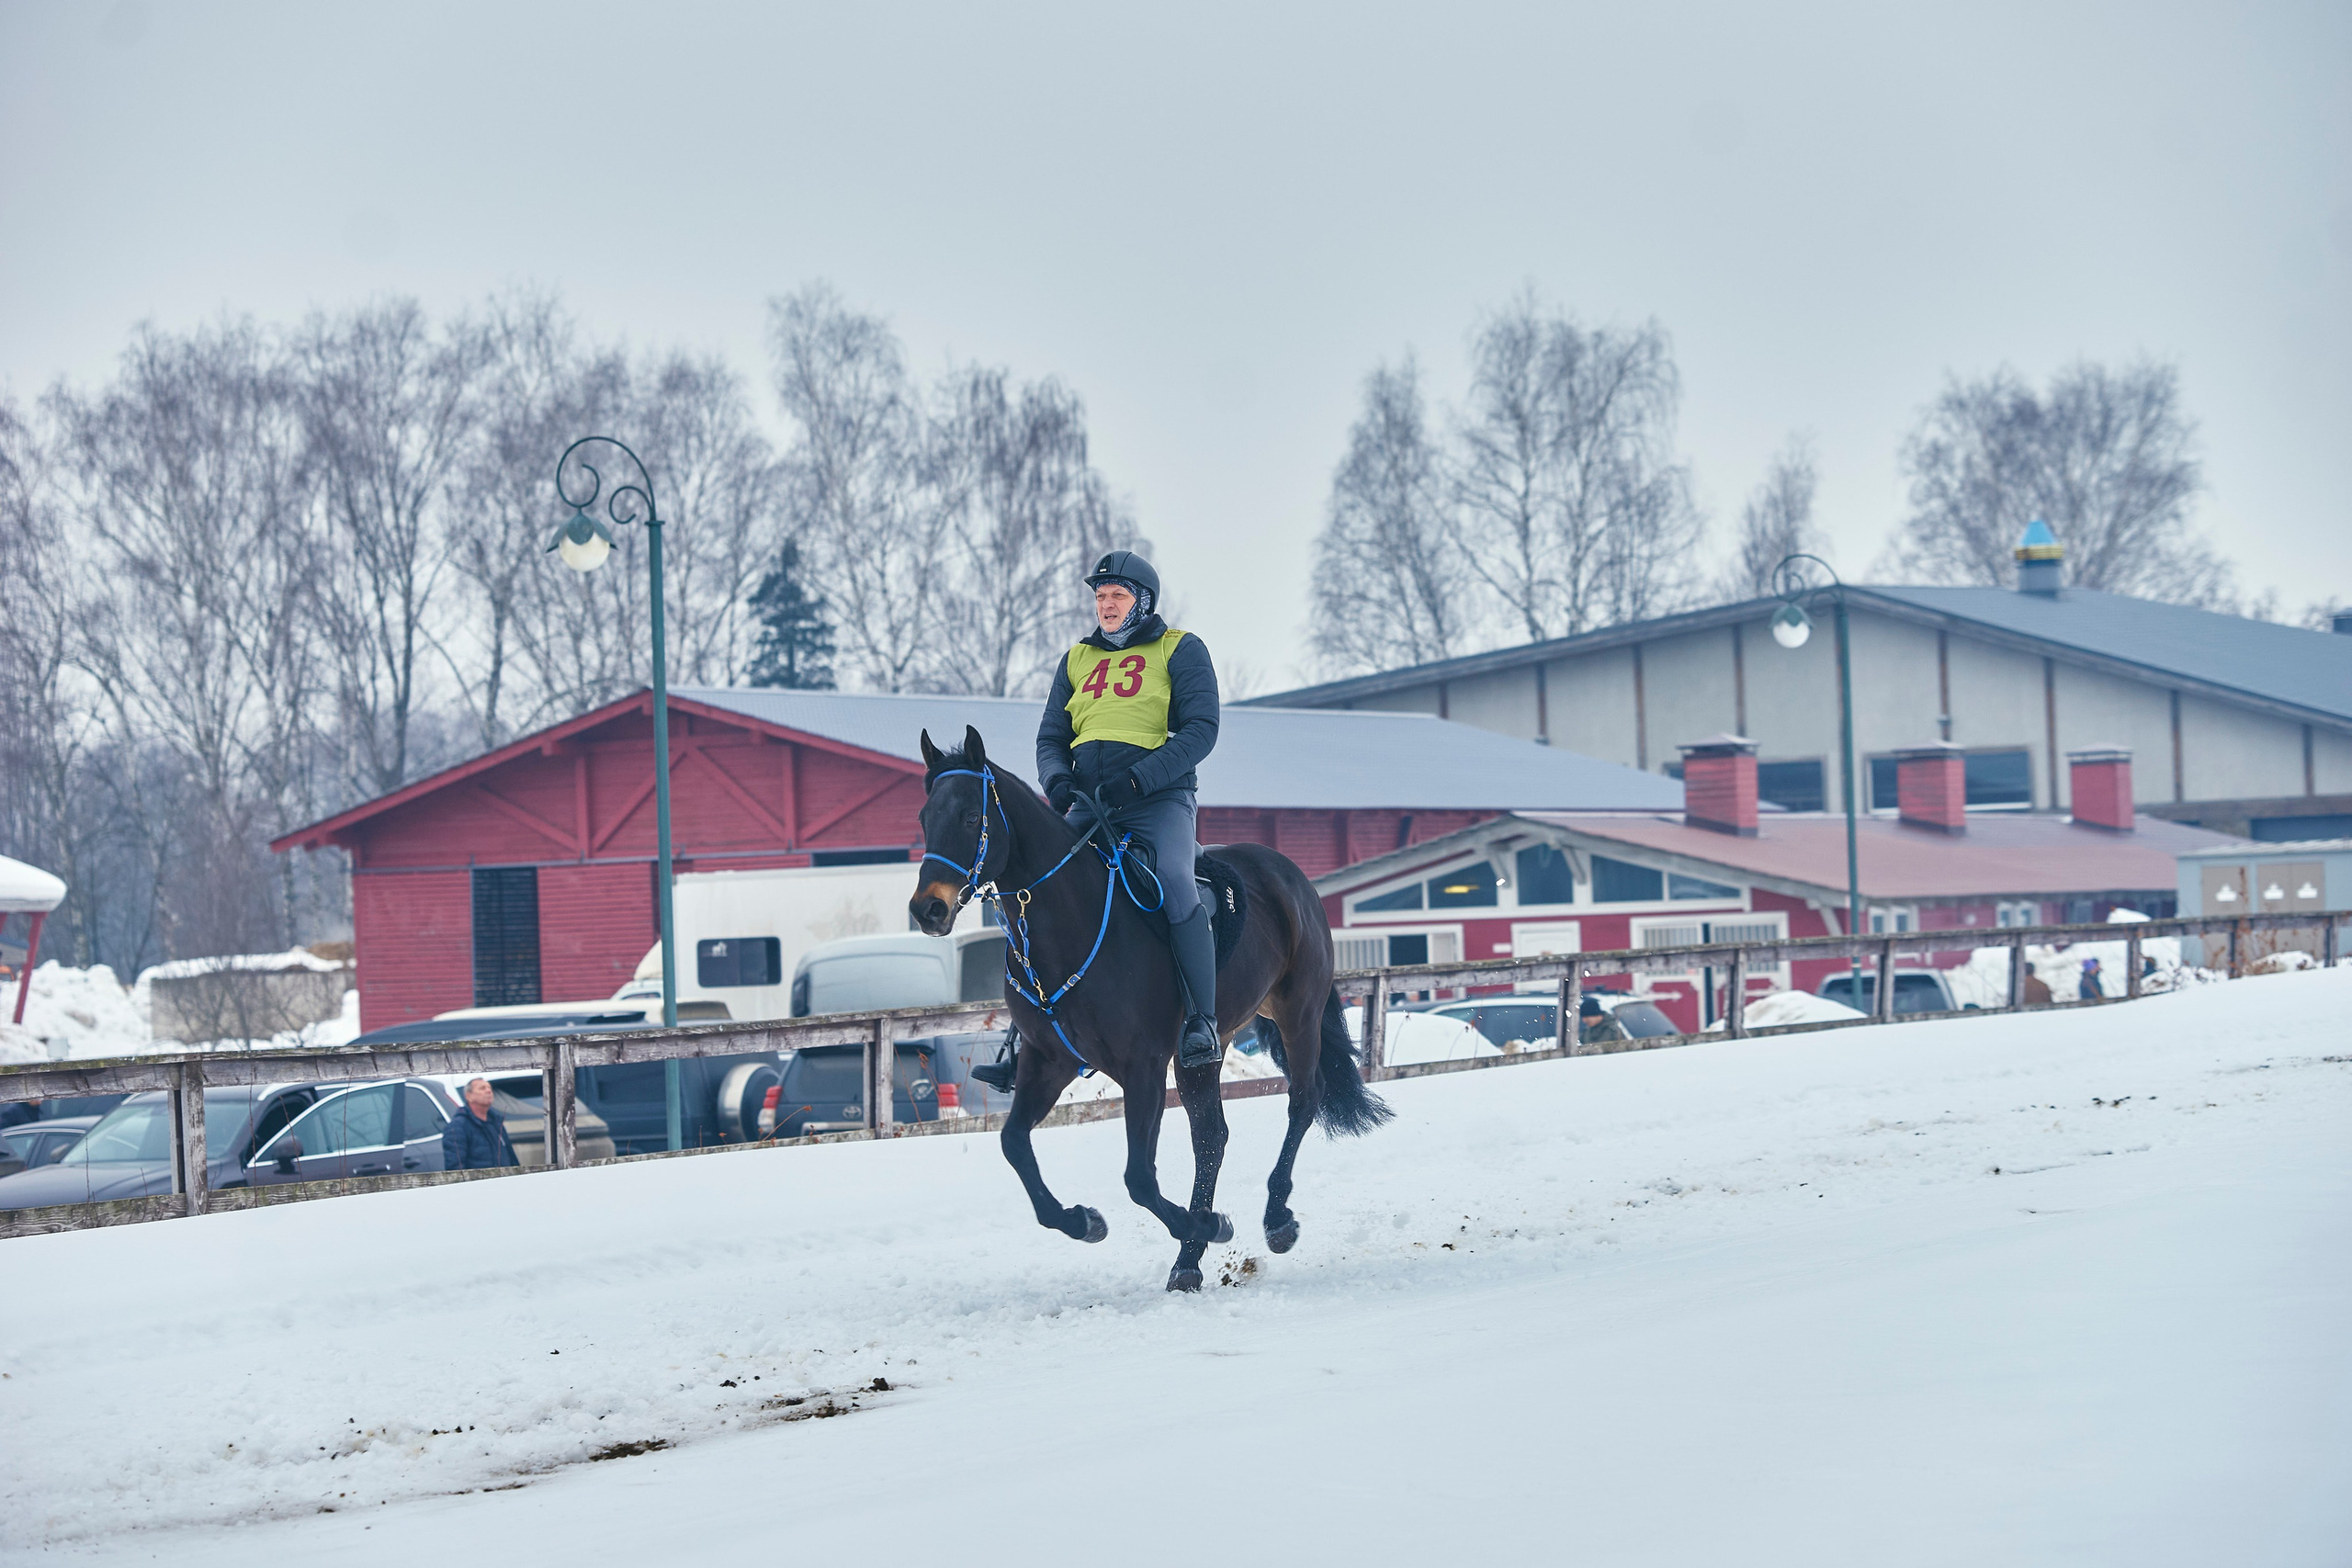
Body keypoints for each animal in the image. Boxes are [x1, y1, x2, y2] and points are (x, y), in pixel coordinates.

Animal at [910, 726, 1392, 1292]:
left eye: (970, 817)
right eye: (924, 818)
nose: (928, 909)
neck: (1068, 922)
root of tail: (1287, 873)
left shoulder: (1141, 1066)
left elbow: (1138, 1178)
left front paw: (1211, 1224)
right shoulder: (1047, 1061)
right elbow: (1014, 1145)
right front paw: (1085, 1221)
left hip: (1298, 1012)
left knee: (1303, 1099)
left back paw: (1274, 1220)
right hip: (1202, 1053)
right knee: (1212, 1138)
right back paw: (1188, 1262)